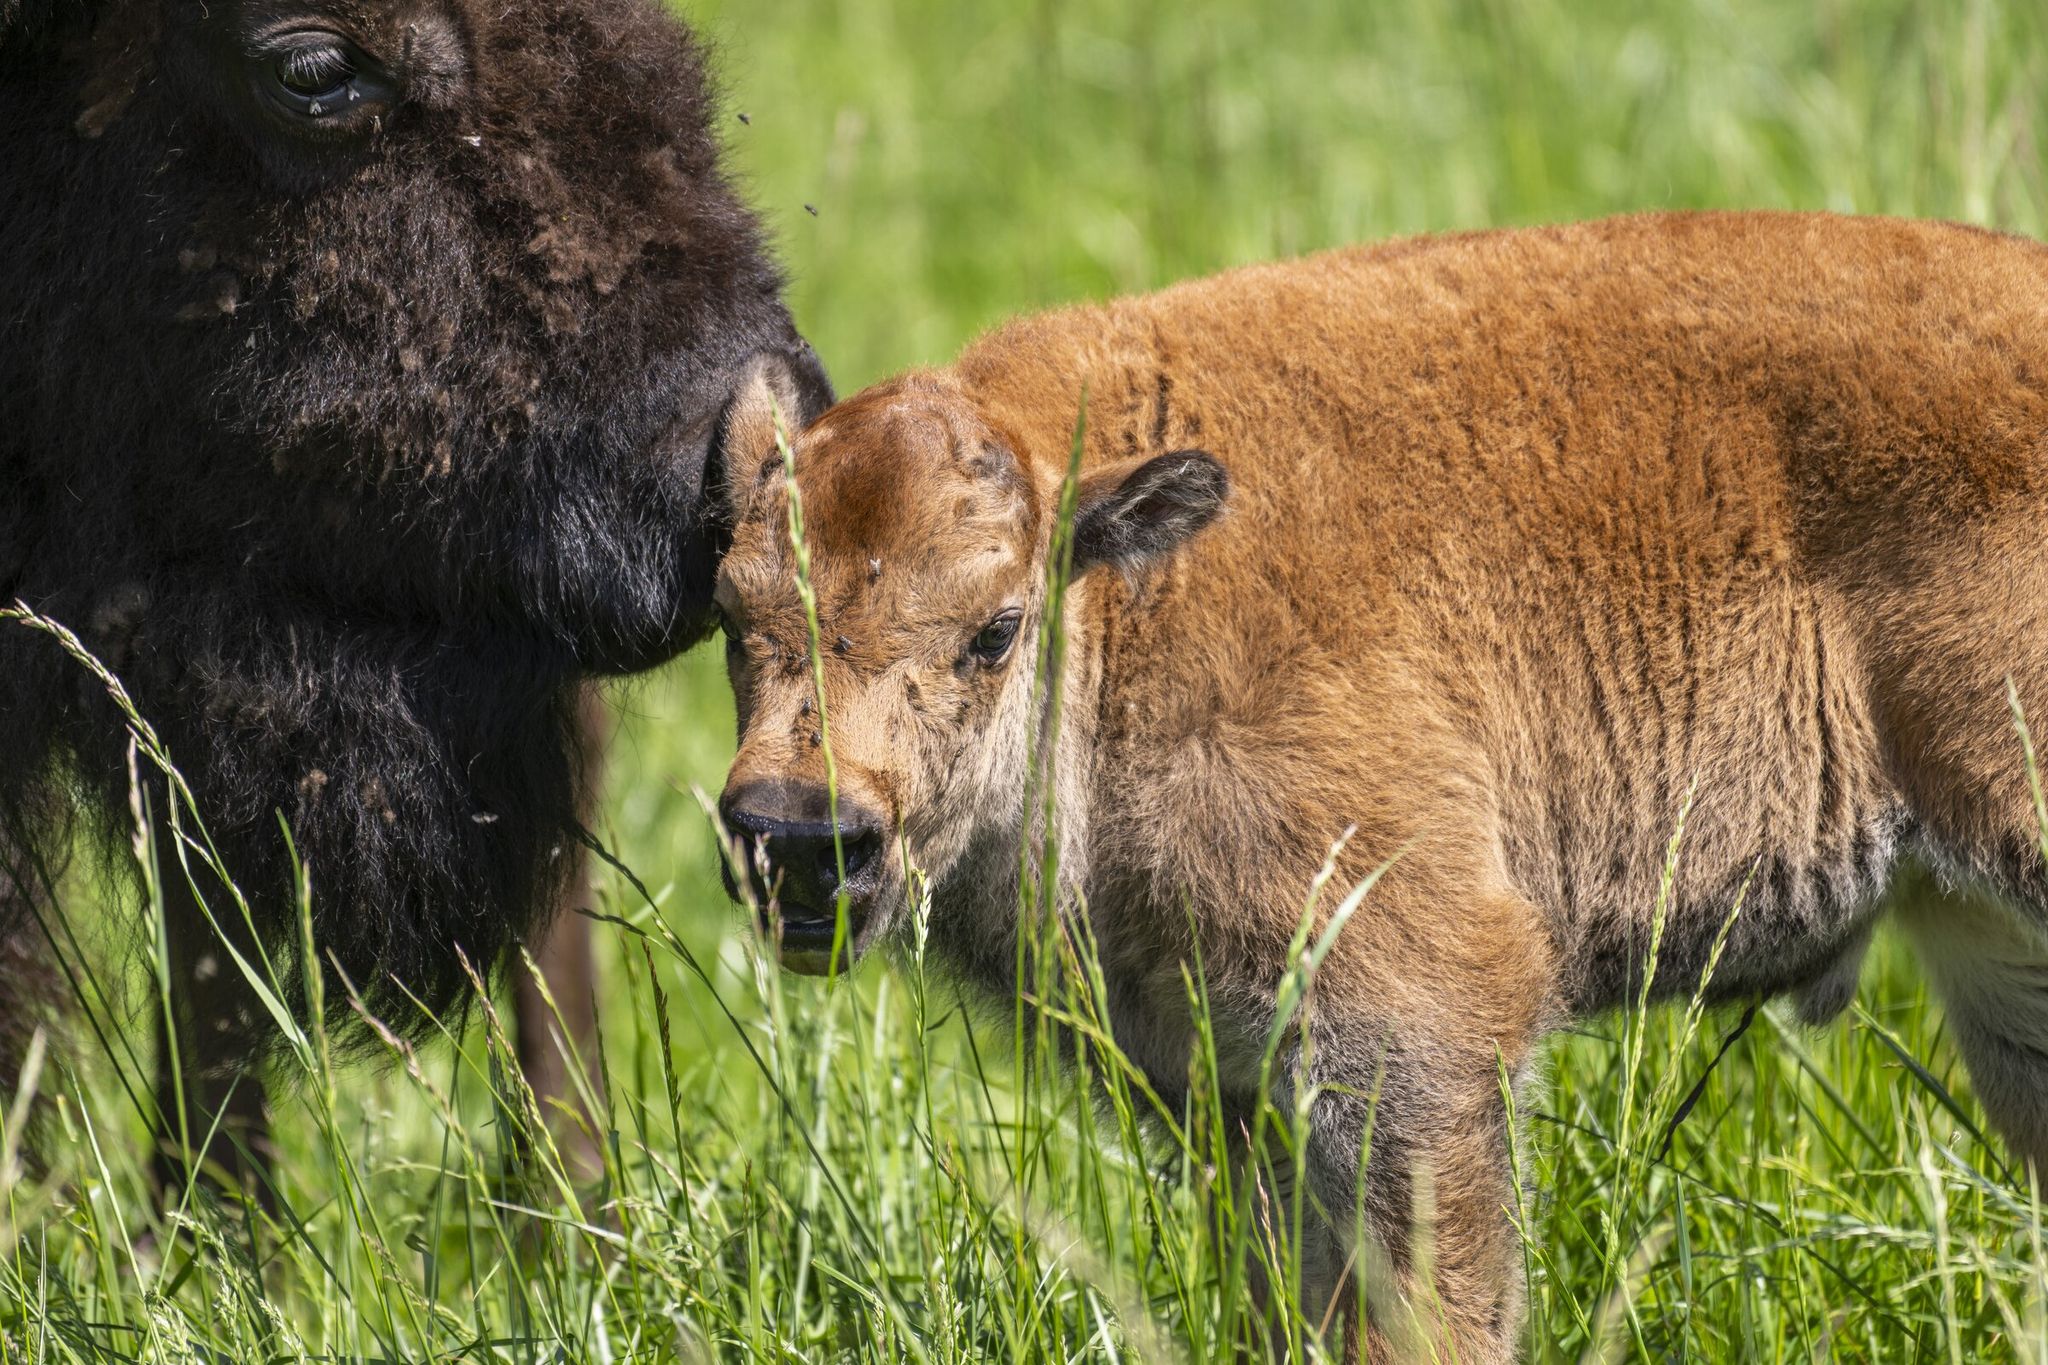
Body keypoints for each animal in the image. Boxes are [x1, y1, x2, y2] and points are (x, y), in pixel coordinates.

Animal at [710, 210, 2048, 1359]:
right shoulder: (1225, 1095)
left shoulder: (1415, 1034)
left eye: (993, 630)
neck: (1127, 605)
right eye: (730, 612)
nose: (799, 836)